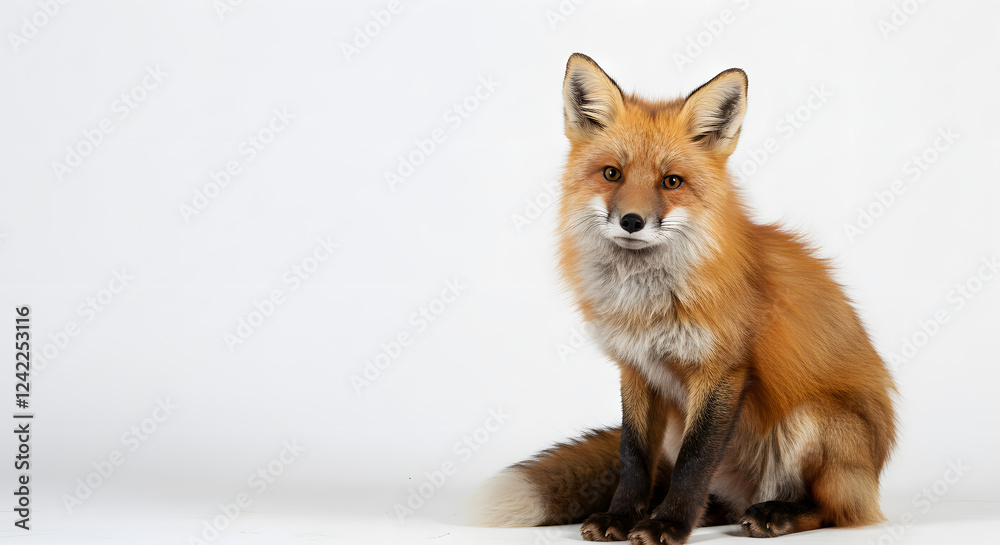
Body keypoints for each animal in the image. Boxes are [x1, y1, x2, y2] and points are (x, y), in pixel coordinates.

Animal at [472, 54, 897, 544]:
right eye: (612, 174)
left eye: (671, 181)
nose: (632, 221)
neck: (647, 304)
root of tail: (873, 477)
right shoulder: (636, 369)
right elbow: (633, 457)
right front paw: (624, 517)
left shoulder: (721, 369)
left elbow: (695, 461)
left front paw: (669, 524)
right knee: (722, 502)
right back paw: (706, 512)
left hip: (812, 420)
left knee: (837, 510)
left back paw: (777, 514)